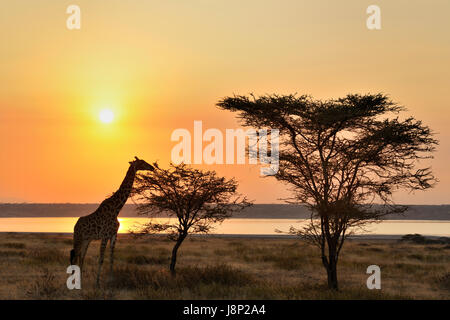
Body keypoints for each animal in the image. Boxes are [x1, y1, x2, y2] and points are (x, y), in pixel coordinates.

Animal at [70, 156, 155, 286]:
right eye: (142, 162)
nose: (152, 167)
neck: (117, 210)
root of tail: (75, 225)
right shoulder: (105, 235)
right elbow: (101, 259)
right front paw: (97, 283)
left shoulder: (114, 235)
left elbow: (111, 258)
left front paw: (111, 279)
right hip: (78, 238)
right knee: (75, 257)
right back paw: (74, 283)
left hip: (86, 240)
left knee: (81, 257)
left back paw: (81, 281)